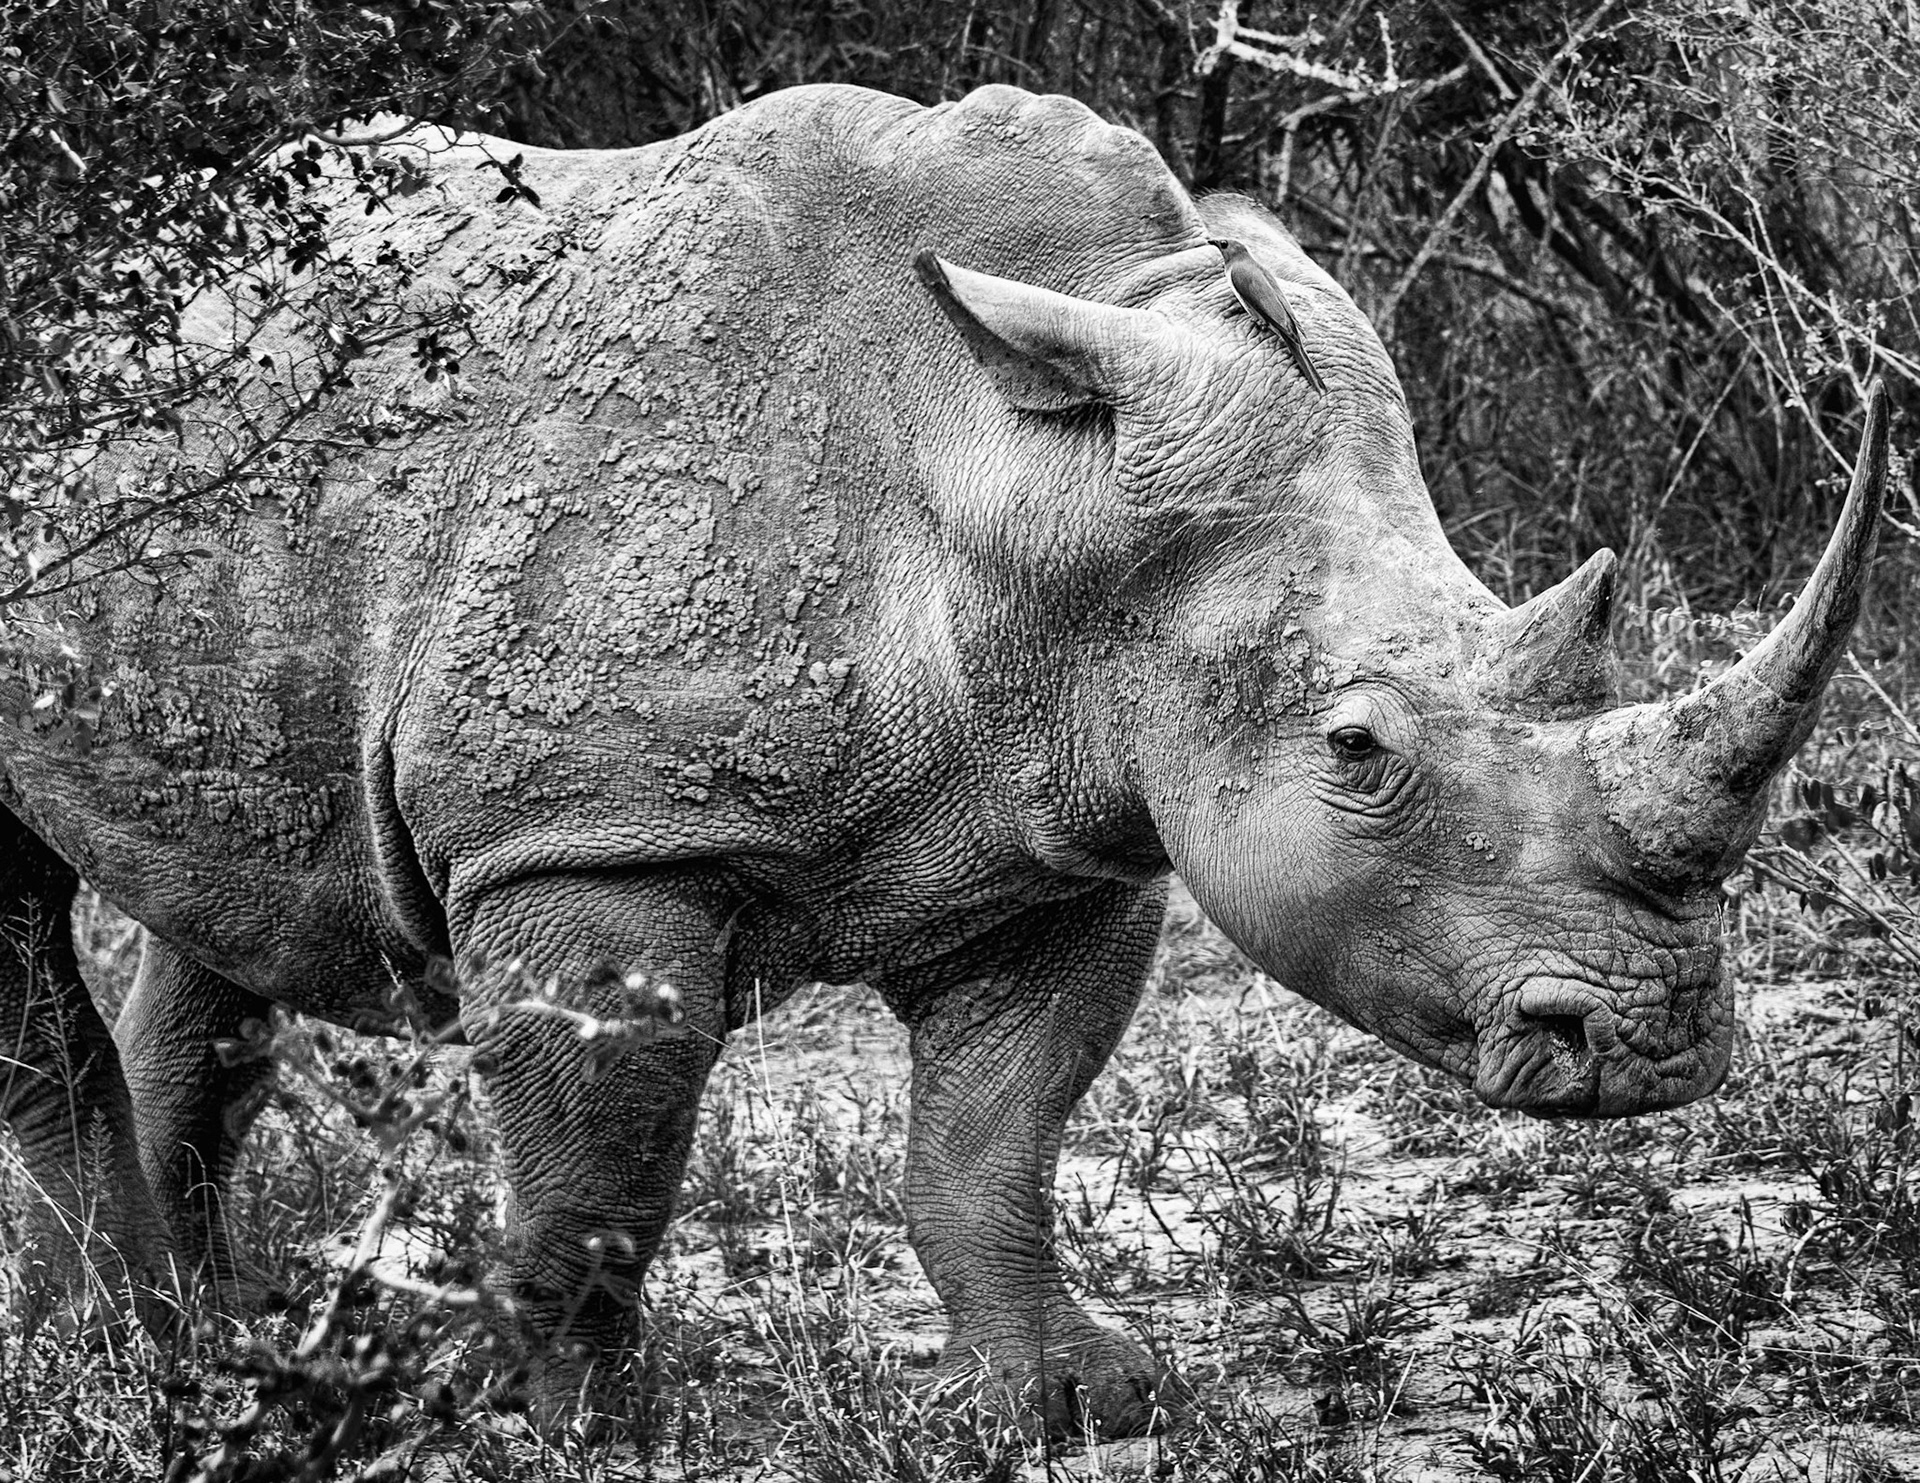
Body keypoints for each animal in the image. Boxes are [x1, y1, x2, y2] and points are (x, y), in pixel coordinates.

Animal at [0, 82, 1890, 1437]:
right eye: (1358, 749)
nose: (1656, 1045)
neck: (1027, 481)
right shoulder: (589, 827)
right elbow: (608, 1144)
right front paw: (578, 1419)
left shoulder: (1076, 820)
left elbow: (995, 1132)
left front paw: (1074, 1396)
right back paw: (134, 1357)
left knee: (224, 892)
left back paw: (212, 1337)